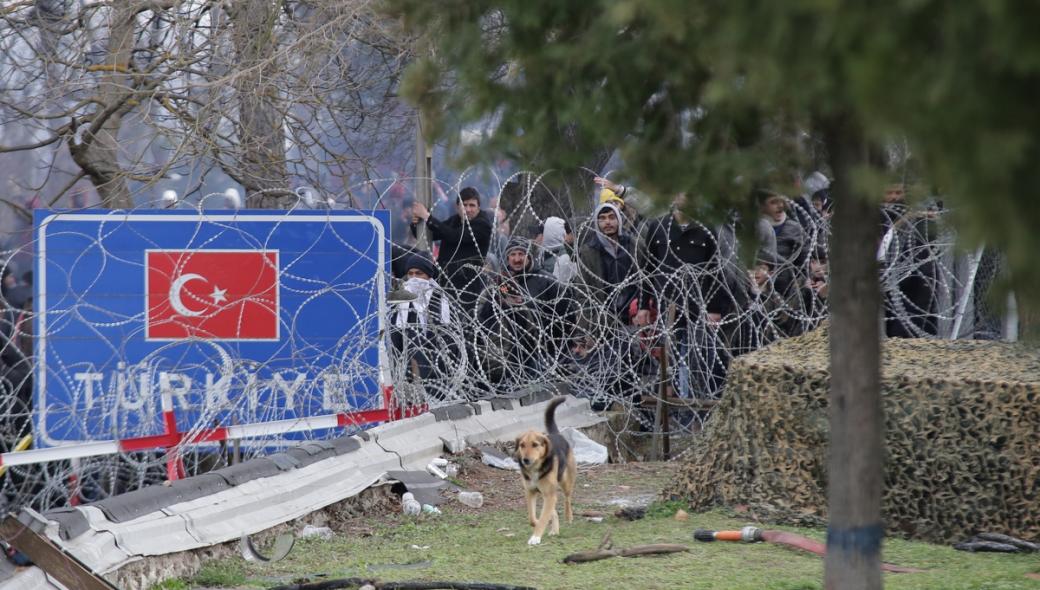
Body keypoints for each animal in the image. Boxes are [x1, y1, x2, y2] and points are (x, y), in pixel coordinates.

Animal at [513, 397, 578, 545]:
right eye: (522, 445)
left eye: (535, 445)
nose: (525, 460)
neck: (535, 469)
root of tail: (556, 434)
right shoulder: (530, 492)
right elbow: (533, 518)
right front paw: (539, 523)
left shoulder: (549, 494)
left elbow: (543, 518)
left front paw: (535, 537)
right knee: (553, 510)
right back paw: (555, 529)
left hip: (566, 481)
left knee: (567, 498)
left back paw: (569, 516)